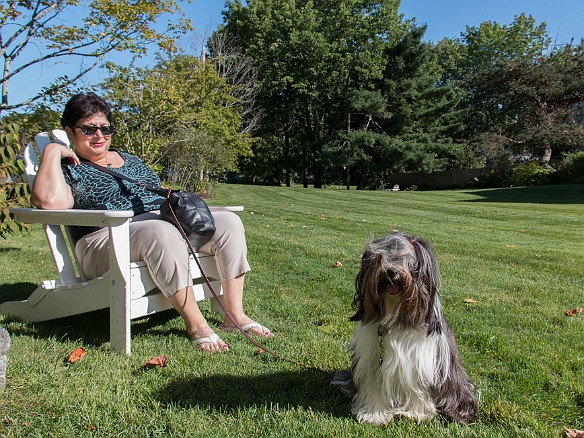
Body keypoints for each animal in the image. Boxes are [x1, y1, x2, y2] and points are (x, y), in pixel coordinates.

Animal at [336, 233, 476, 424]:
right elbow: (373, 387)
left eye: (408, 260)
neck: (395, 314)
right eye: (380, 258)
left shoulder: (420, 364)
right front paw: (373, 414)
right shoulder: (371, 360)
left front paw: (416, 414)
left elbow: (419, 391)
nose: (391, 272)